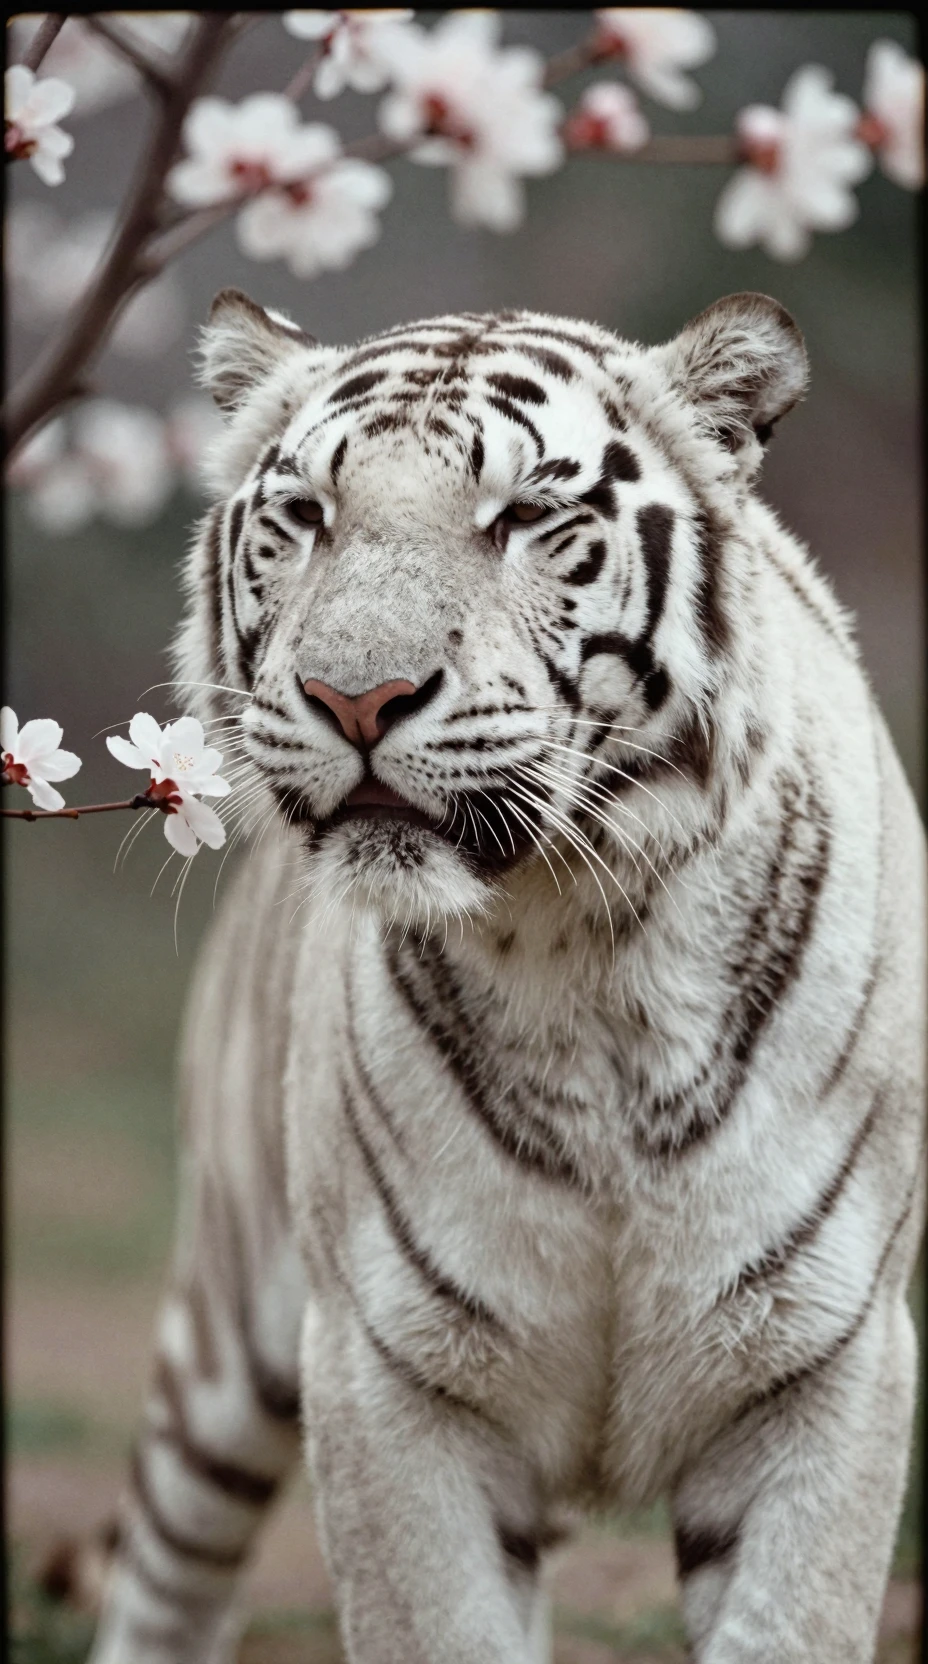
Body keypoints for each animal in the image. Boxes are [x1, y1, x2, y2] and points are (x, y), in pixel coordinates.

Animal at [80, 288, 925, 1664]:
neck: (583, 949)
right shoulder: (386, 1368)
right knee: (163, 1576)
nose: (354, 695)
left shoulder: (827, 1354)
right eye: (306, 514)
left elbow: (790, 1620)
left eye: (525, 516)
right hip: (226, 1336)